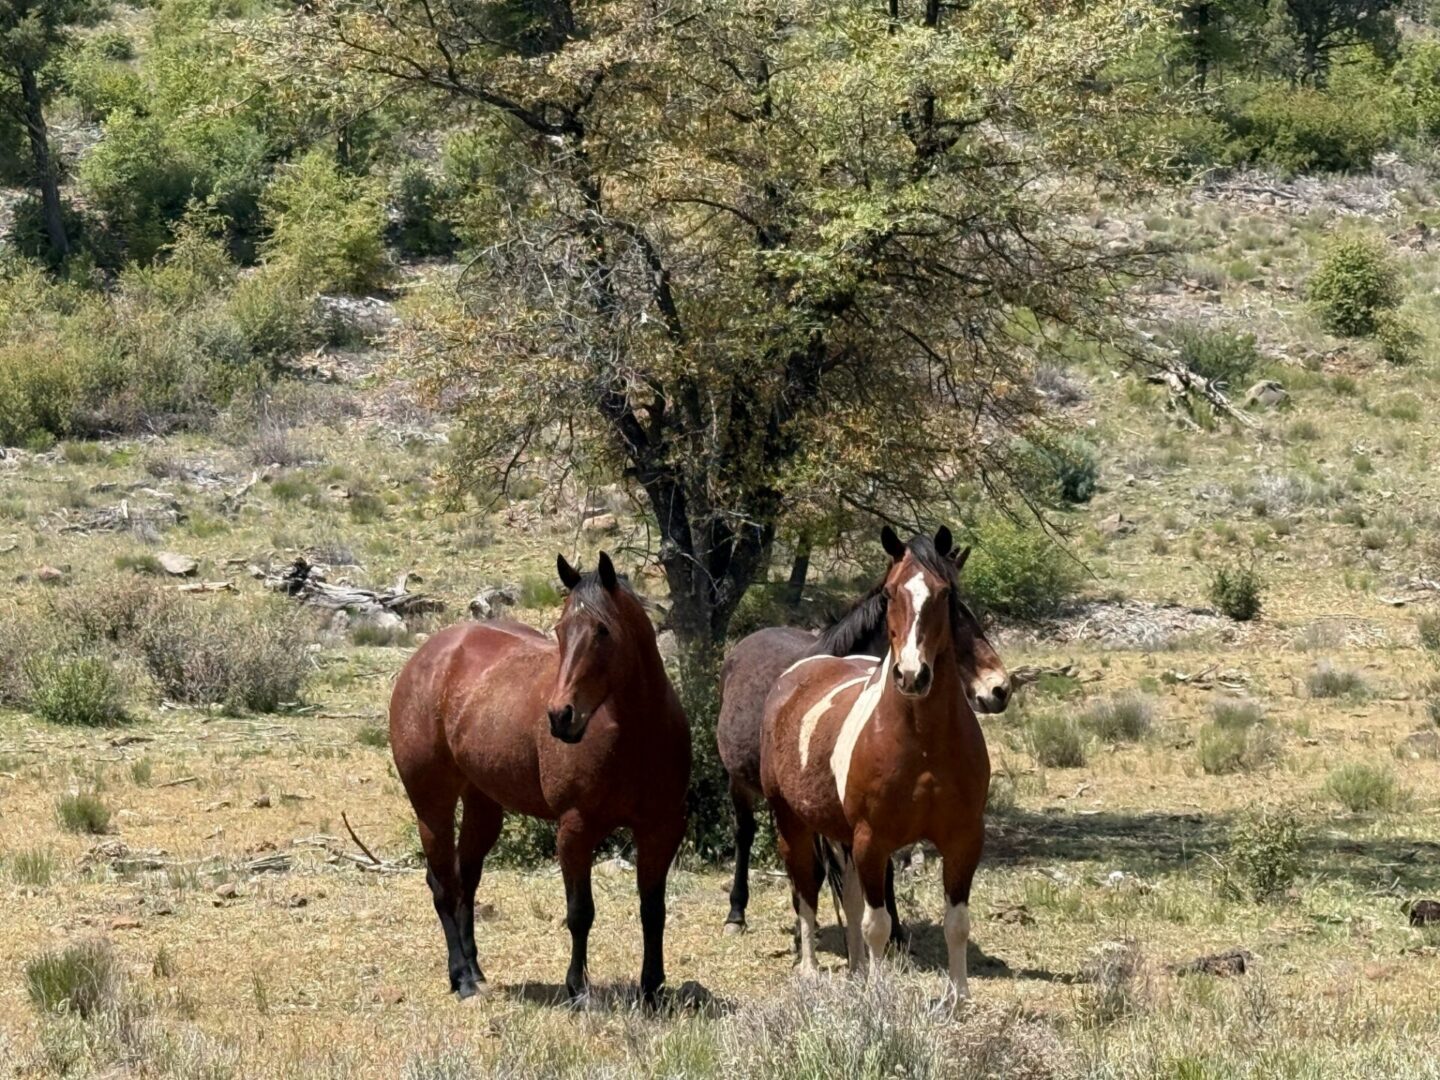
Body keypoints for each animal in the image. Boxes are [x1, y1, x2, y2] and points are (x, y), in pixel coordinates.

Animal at [388, 551, 691, 1006]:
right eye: (560, 630)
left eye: (603, 630)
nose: (561, 716)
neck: (636, 735)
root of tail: (427, 657)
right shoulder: (575, 830)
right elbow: (580, 912)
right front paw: (577, 988)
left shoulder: (661, 830)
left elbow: (652, 911)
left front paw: (652, 988)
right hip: (432, 805)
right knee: (443, 884)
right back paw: (461, 979)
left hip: (482, 805)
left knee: (465, 880)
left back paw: (475, 971)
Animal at [717, 538, 1008, 939]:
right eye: (955, 610)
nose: (998, 688)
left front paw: (896, 929)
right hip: (740, 784)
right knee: (745, 835)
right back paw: (737, 912)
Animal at [759, 526, 992, 997]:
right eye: (889, 592)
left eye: (946, 593)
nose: (912, 675)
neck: (923, 745)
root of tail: (796, 675)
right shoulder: (873, 840)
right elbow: (878, 925)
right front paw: (878, 995)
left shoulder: (963, 839)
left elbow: (956, 923)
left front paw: (958, 999)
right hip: (792, 823)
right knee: (806, 890)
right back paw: (810, 969)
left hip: (842, 836)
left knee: (845, 896)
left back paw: (854, 970)